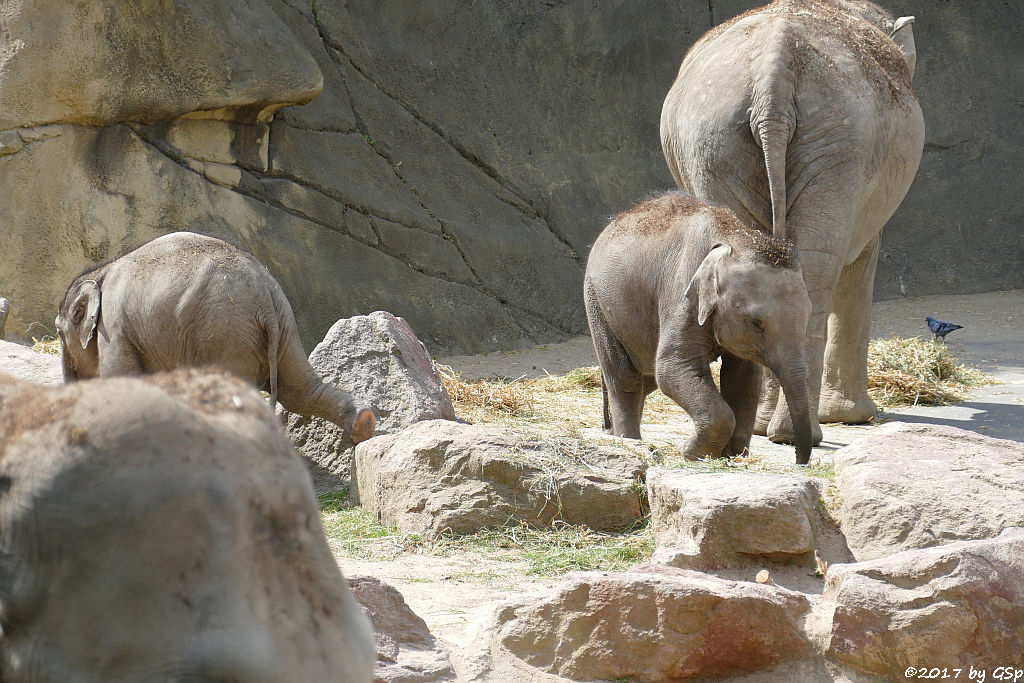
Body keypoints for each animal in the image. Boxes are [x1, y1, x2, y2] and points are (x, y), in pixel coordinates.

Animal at [55, 232, 376, 446]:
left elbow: (121, 378)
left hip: (226, 333)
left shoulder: (115, 325)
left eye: (58, 332)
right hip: (284, 326)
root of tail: (264, 297)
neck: (101, 271)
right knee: (299, 390)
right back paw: (363, 424)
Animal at [585, 192, 815, 464]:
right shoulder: (682, 294)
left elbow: (744, 380)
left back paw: (615, 435)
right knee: (624, 378)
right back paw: (630, 442)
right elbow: (673, 368)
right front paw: (691, 452)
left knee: (645, 380)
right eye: (755, 324)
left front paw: (731, 454)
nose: (799, 461)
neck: (734, 235)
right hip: (597, 302)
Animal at [659, 0, 925, 444]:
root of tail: (774, 75)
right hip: (838, 140)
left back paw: (772, 428)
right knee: (818, 272)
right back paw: (798, 433)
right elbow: (861, 262)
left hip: (724, 141)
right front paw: (854, 418)